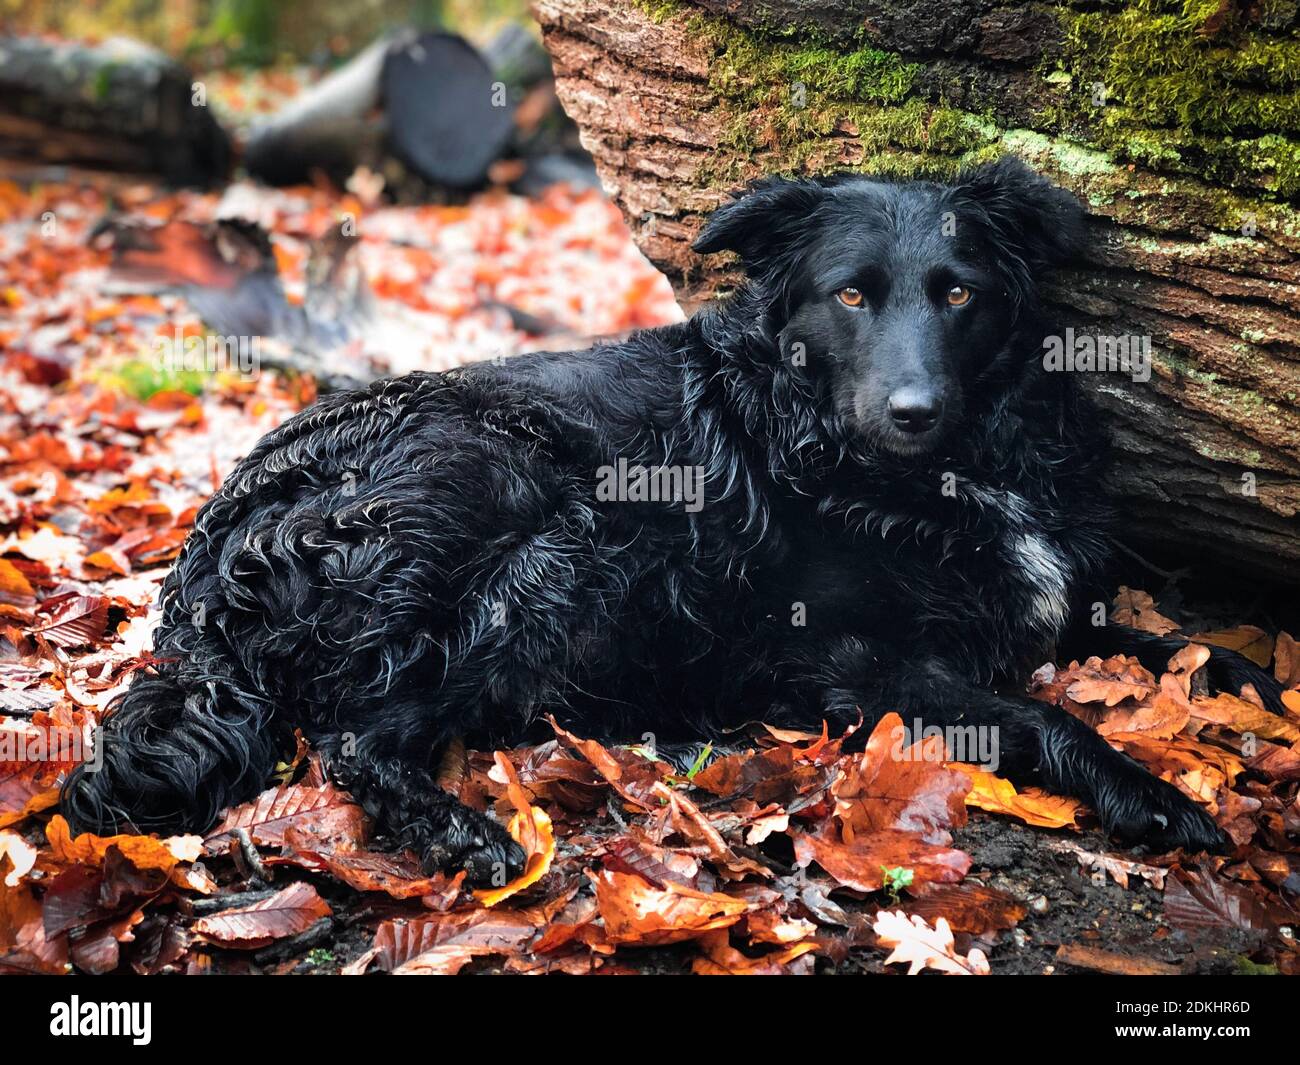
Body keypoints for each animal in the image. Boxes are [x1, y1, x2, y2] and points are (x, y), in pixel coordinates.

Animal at [61, 160, 1279, 884]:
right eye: (850, 293)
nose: (910, 410)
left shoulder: (1058, 595)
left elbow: (1192, 642)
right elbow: (1046, 717)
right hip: (542, 516)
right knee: (359, 738)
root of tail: (206, 567)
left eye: (959, 293)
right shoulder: (849, 661)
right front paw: (1148, 793)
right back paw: (471, 834)